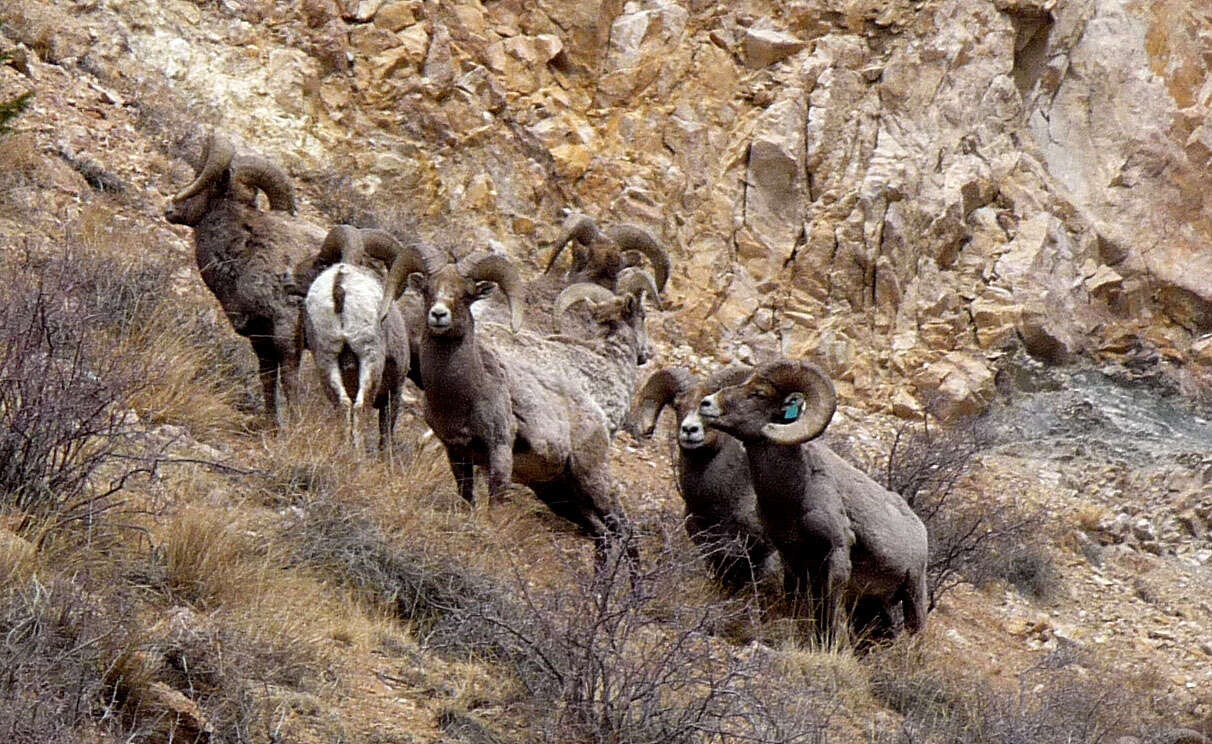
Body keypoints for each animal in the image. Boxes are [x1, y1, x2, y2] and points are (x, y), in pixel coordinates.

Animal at [168, 133, 327, 426]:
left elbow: (289, 381)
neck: (244, 251)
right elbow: (268, 379)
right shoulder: (259, 336)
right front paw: (272, 426)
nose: (170, 209)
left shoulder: (286, 330)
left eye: (201, 179)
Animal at [303, 224, 412, 450]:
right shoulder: (394, 391)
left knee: (343, 405)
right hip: (370, 359)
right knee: (361, 406)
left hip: (326, 358)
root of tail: (340, 284)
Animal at [378, 244, 635, 564]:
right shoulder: (456, 453)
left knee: (626, 533)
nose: (438, 315)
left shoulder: (499, 451)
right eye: (428, 290)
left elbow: (494, 507)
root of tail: (597, 417)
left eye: (466, 294)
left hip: (593, 482)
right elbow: (467, 499)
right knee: (602, 537)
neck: (464, 393)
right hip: (560, 496)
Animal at [698, 361, 921, 634]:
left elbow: (832, 616)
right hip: (876, 605)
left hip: (914, 593)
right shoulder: (794, 562)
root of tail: (919, 528)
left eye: (758, 393)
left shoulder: (836, 555)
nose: (706, 403)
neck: (795, 493)